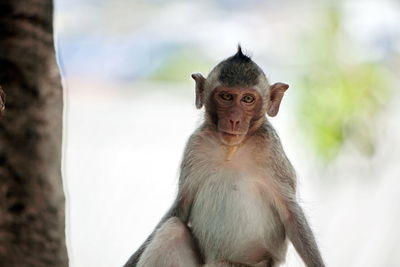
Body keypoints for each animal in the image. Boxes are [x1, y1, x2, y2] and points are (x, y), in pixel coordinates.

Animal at [125, 46, 324, 267]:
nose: (234, 119)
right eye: (226, 96)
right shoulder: (196, 145)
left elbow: (291, 213)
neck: (231, 150)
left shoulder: (270, 150)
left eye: (247, 99)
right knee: (173, 230)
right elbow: (180, 209)